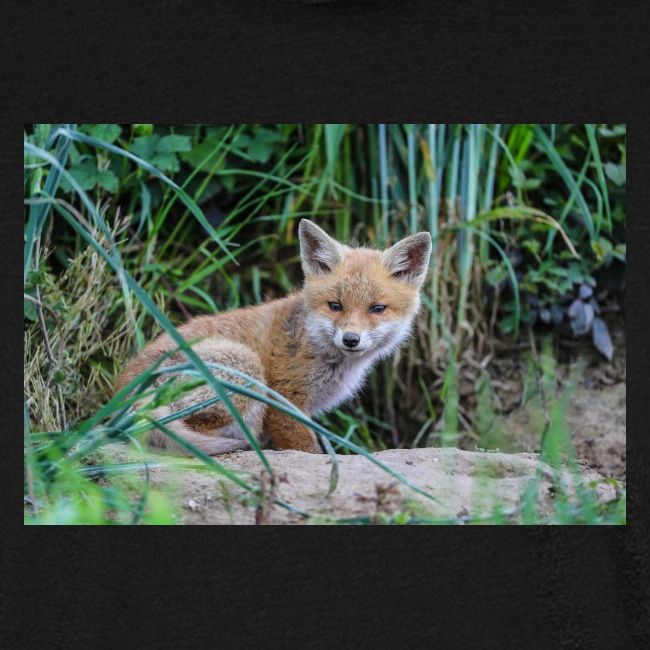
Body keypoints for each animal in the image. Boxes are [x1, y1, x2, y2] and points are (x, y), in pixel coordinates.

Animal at [116, 219, 432, 455]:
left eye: (377, 309)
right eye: (335, 305)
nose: (351, 339)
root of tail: (124, 395)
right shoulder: (284, 400)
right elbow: (308, 449)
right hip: (246, 368)